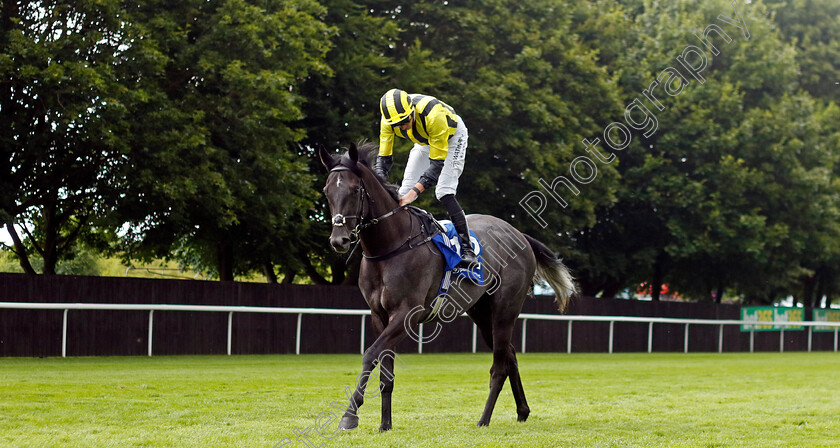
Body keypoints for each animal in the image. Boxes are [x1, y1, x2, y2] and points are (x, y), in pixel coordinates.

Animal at [318, 144, 576, 430]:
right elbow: (386, 373)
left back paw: (484, 420)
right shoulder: (379, 315)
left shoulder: (406, 313)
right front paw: (385, 425)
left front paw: (349, 415)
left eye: (354, 189)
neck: (389, 247)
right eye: (327, 191)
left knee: (499, 367)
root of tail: (519, 234)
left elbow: (370, 354)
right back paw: (522, 411)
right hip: (482, 314)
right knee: (510, 356)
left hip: (505, 310)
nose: (339, 240)